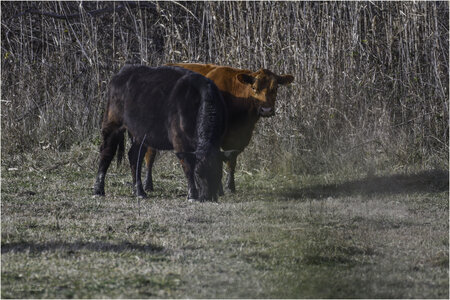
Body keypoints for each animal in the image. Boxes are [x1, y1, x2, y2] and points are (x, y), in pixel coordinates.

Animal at [94, 65, 229, 202]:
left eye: (218, 172)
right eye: (198, 173)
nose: (208, 197)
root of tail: (122, 72)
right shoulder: (180, 141)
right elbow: (188, 167)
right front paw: (192, 195)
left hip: (140, 133)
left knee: (134, 156)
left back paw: (139, 191)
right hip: (113, 123)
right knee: (107, 152)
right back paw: (99, 189)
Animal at [142, 64, 294, 193]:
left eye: (275, 88)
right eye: (254, 88)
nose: (266, 110)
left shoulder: (239, 138)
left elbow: (231, 161)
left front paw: (230, 187)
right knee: (150, 155)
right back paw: (148, 185)